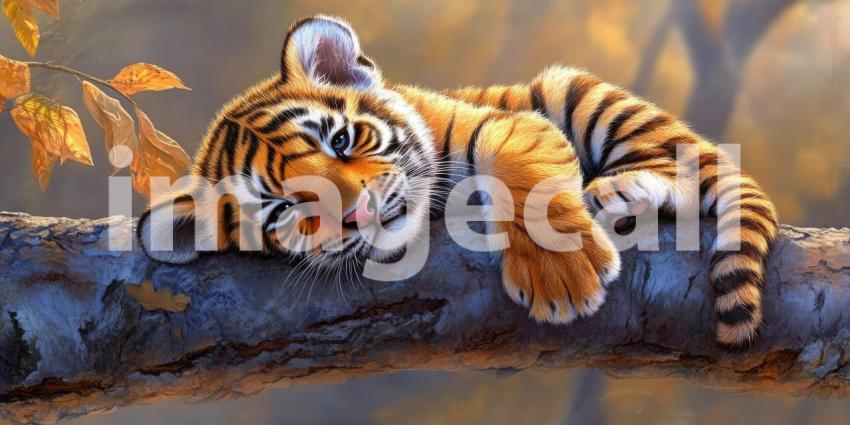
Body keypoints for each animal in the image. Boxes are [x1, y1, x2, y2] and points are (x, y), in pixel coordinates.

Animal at [138, 15, 777, 348]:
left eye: (339, 141)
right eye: (283, 210)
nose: (360, 213)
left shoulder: (510, 123)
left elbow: (520, 174)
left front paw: (563, 279)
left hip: (579, 92)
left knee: (683, 165)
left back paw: (621, 190)